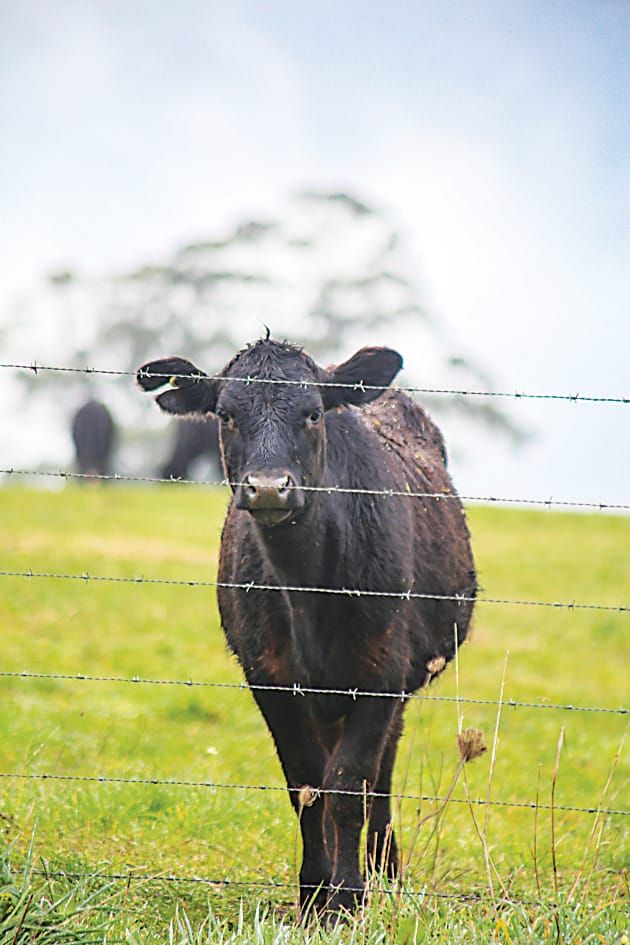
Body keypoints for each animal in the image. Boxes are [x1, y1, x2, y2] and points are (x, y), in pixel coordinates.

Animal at [137, 338, 476, 916]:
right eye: (226, 414)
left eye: (313, 413)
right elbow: (306, 783)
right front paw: (316, 892)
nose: (269, 489)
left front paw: (349, 897)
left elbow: (349, 784)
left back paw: (384, 869)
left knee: (381, 773)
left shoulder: (380, 675)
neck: (310, 590)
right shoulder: (270, 679)